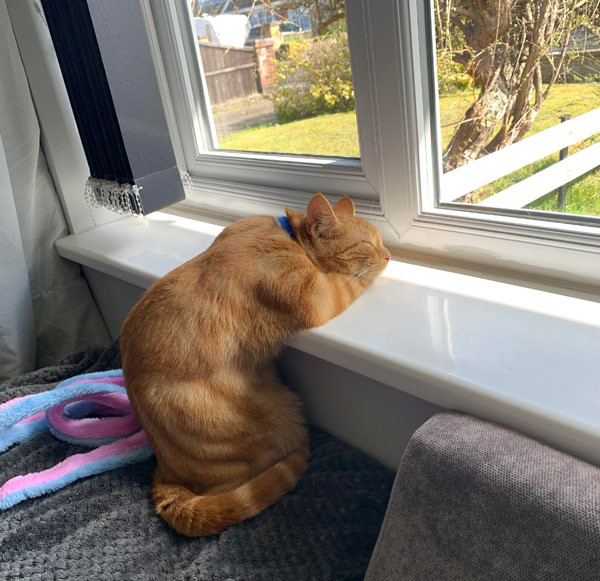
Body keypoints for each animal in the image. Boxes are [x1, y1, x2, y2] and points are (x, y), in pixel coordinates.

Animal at [119, 194, 392, 536]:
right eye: (367, 244)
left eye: (381, 240)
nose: (389, 255)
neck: (288, 236)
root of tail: (166, 473)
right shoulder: (319, 296)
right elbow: (352, 282)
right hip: (284, 414)